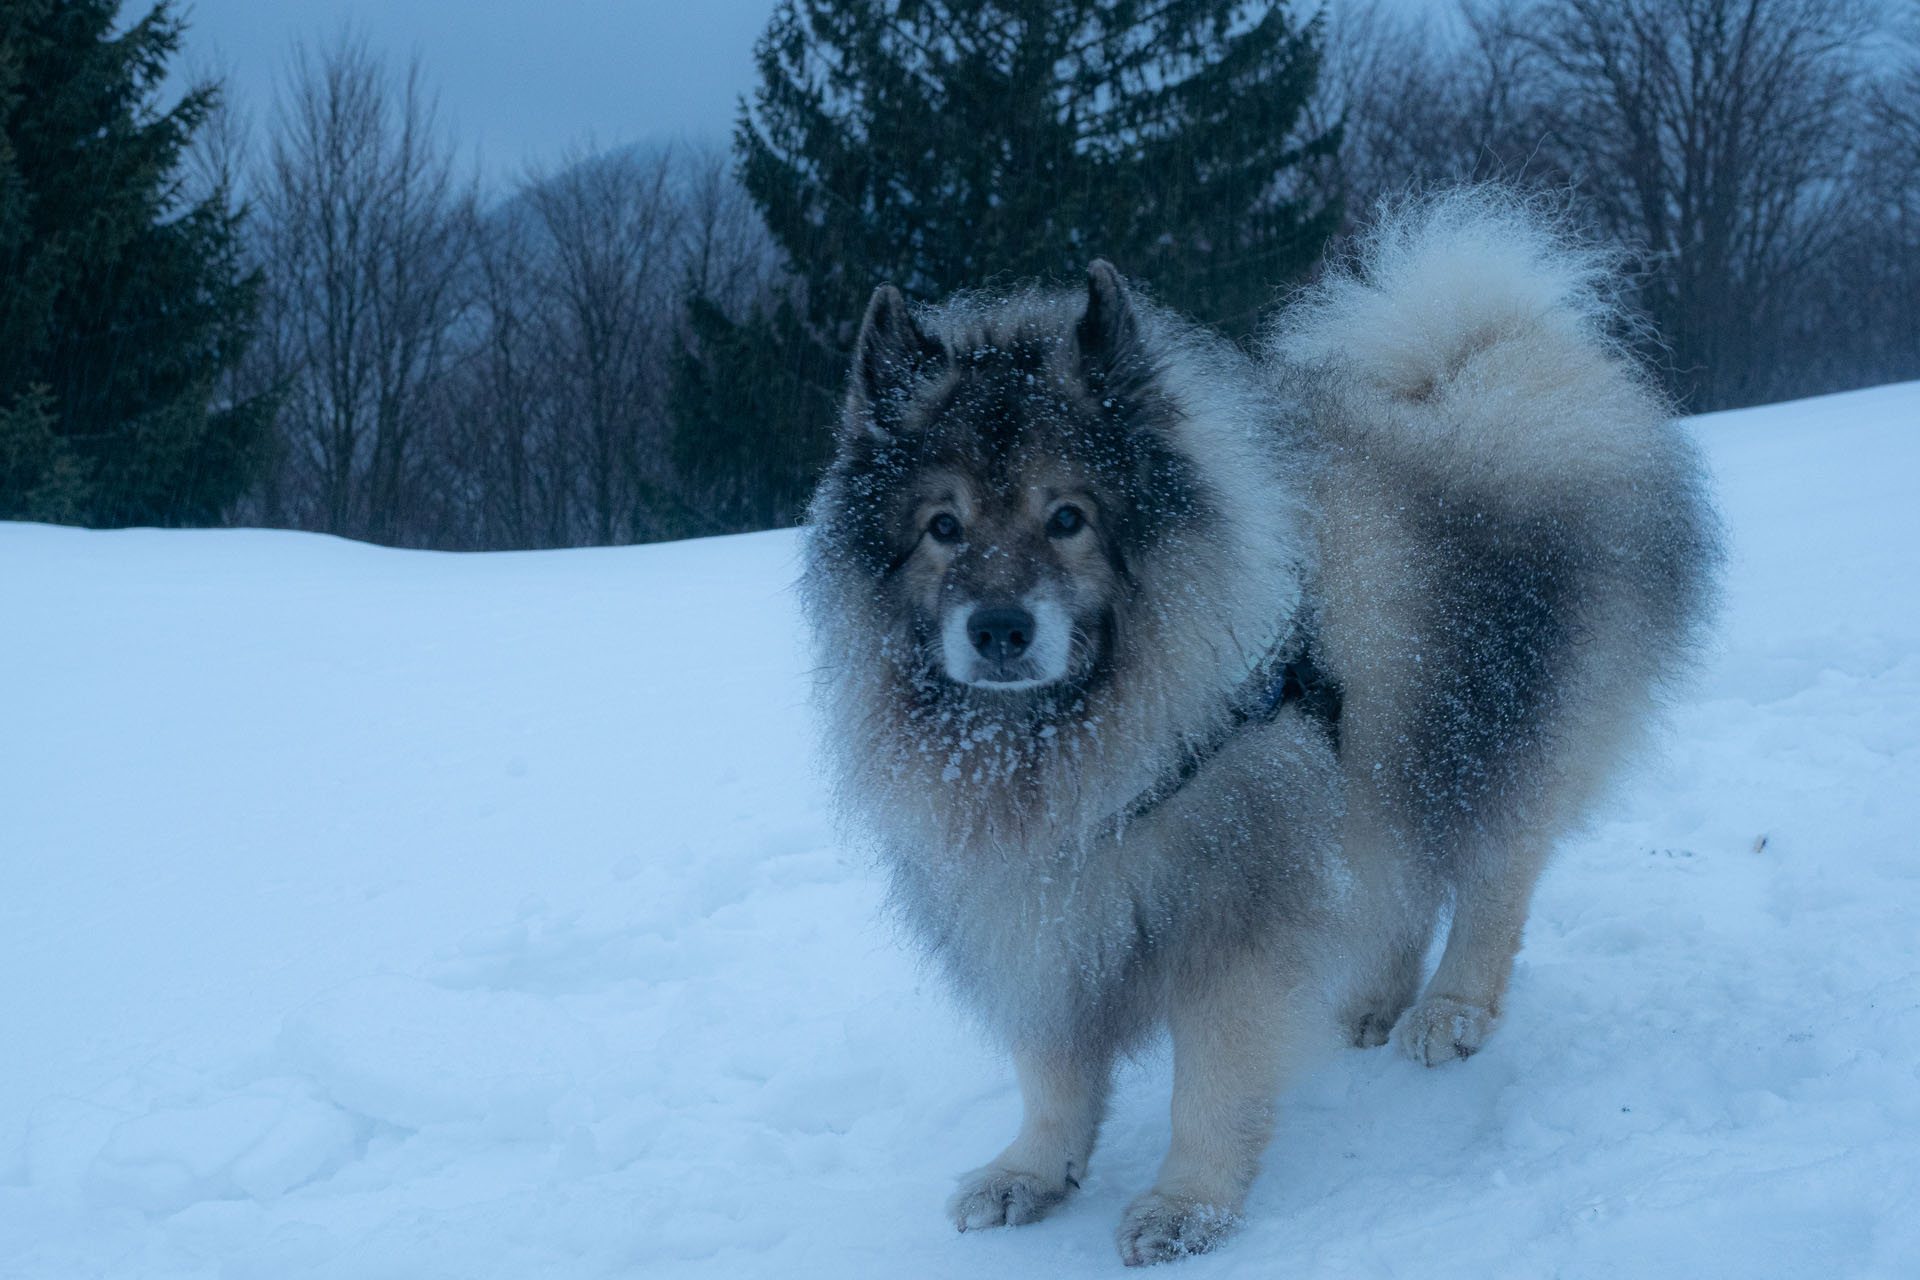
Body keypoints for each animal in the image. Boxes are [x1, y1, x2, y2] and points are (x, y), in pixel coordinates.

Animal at [798, 195, 1728, 1266]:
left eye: (1068, 517)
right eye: (942, 527)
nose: (998, 628)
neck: (1066, 738)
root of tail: (1490, 362)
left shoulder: (1230, 909)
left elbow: (1209, 1082)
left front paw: (1187, 1204)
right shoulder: (1042, 904)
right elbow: (1053, 1069)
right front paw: (1032, 1171)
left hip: (1487, 734)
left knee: (1494, 880)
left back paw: (1449, 1011)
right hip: (1383, 762)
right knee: (1400, 879)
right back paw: (1372, 1002)